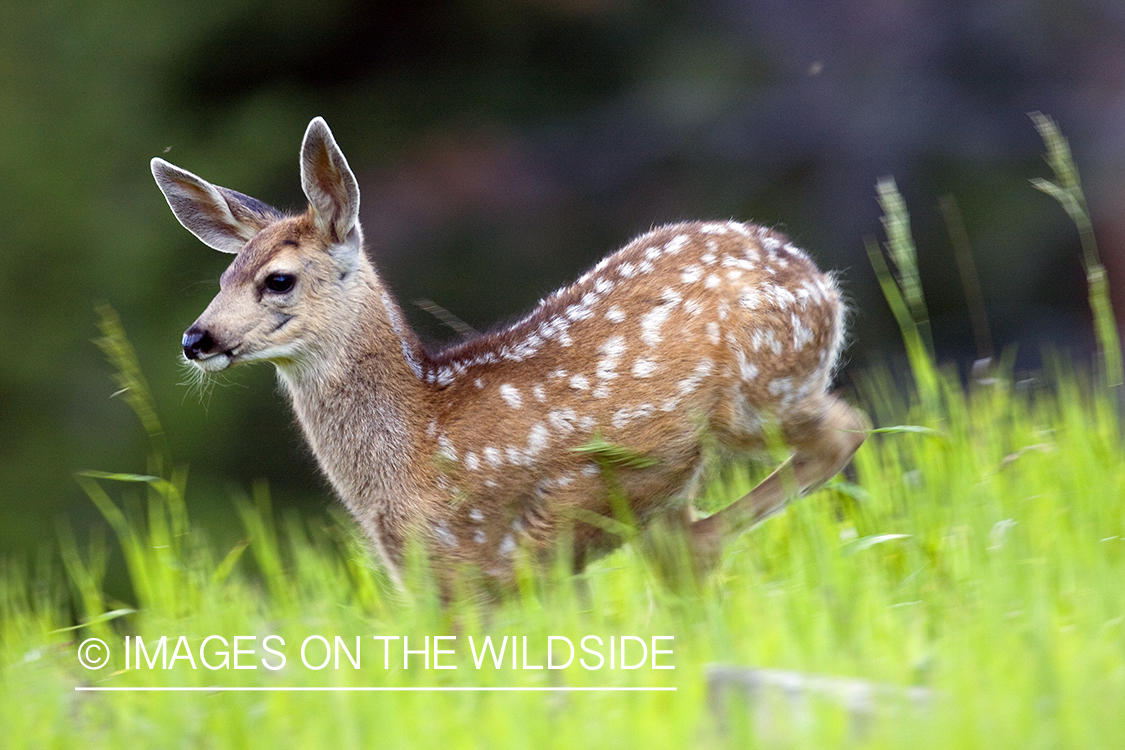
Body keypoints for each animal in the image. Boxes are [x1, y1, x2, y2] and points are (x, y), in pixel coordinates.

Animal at [152, 117, 867, 593]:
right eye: (222, 278)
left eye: (278, 280)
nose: (196, 339)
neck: (418, 447)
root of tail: (817, 276)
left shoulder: (498, 555)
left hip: (758, 394)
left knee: (844, 431)